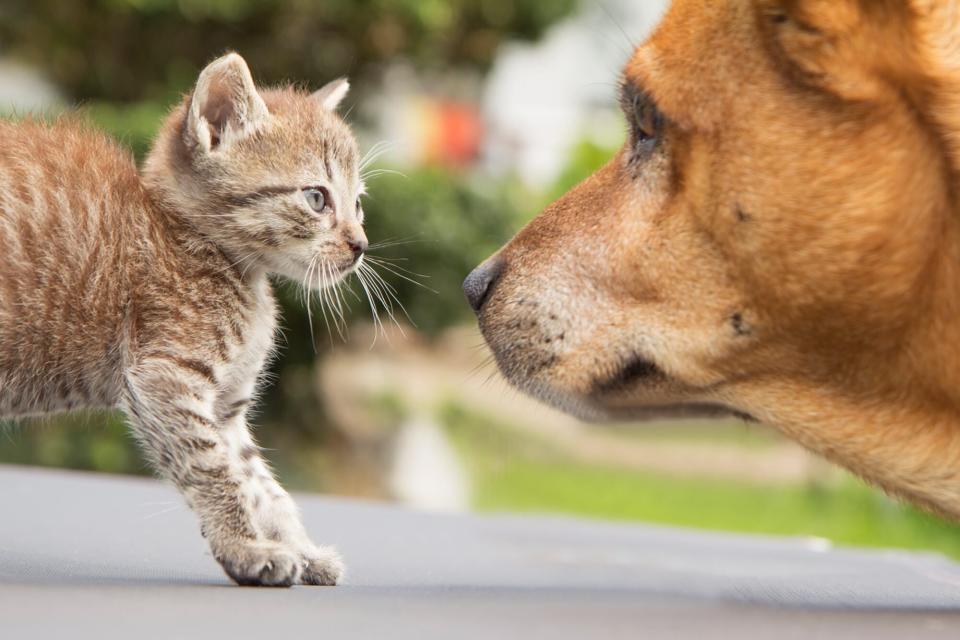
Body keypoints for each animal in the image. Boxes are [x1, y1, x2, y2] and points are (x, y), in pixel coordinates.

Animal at [0, 53, 368, 584]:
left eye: (358, 203)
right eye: (317, 198)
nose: (361, 244)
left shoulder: (226, 408)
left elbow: (261, 484)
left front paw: (301, 548)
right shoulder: (164, 377)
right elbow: (215, 470)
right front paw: (246, 548)